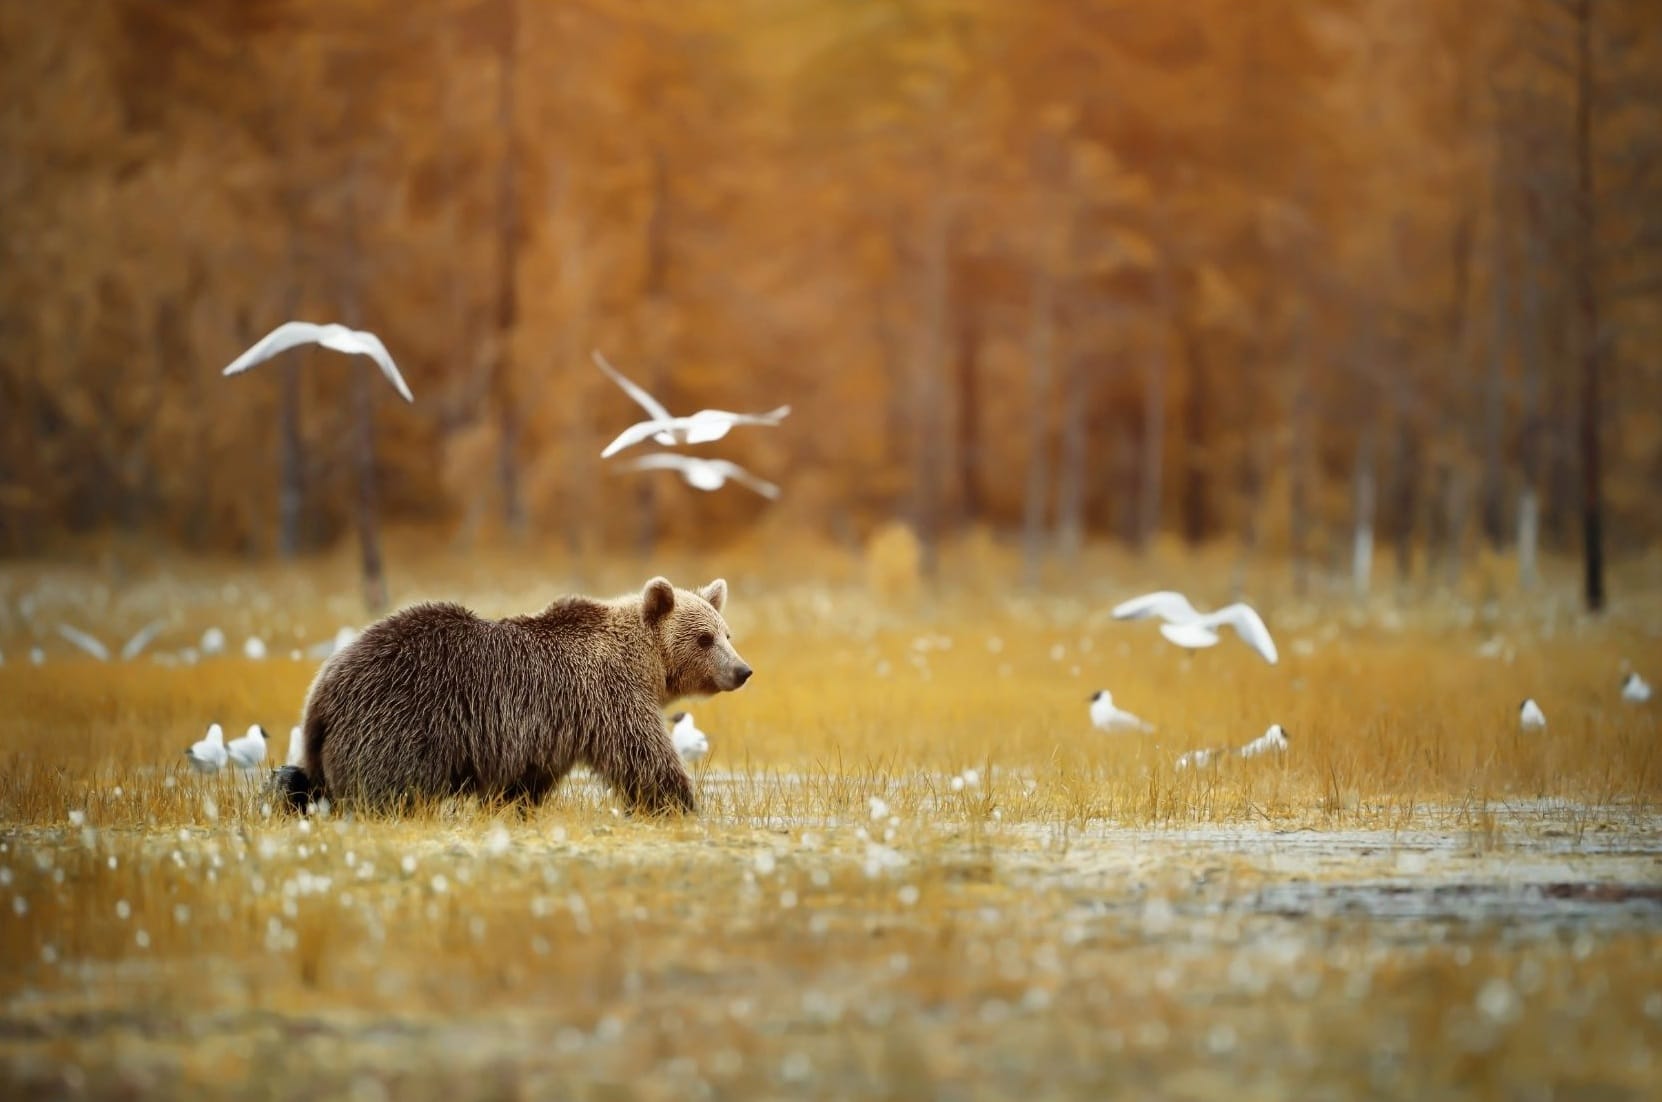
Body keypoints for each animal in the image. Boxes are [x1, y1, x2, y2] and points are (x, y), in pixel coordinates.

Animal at [269, 578, 751, 817]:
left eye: (727, 634)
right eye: (704, 638)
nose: (742, 671)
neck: (644, 664)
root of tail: (321, 692)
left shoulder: (546, 734)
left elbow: (523, 784)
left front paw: (510, 808)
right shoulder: (607, 696)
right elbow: (645, 758)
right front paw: (682, 804)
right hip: (399, 720)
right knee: (388, 787)